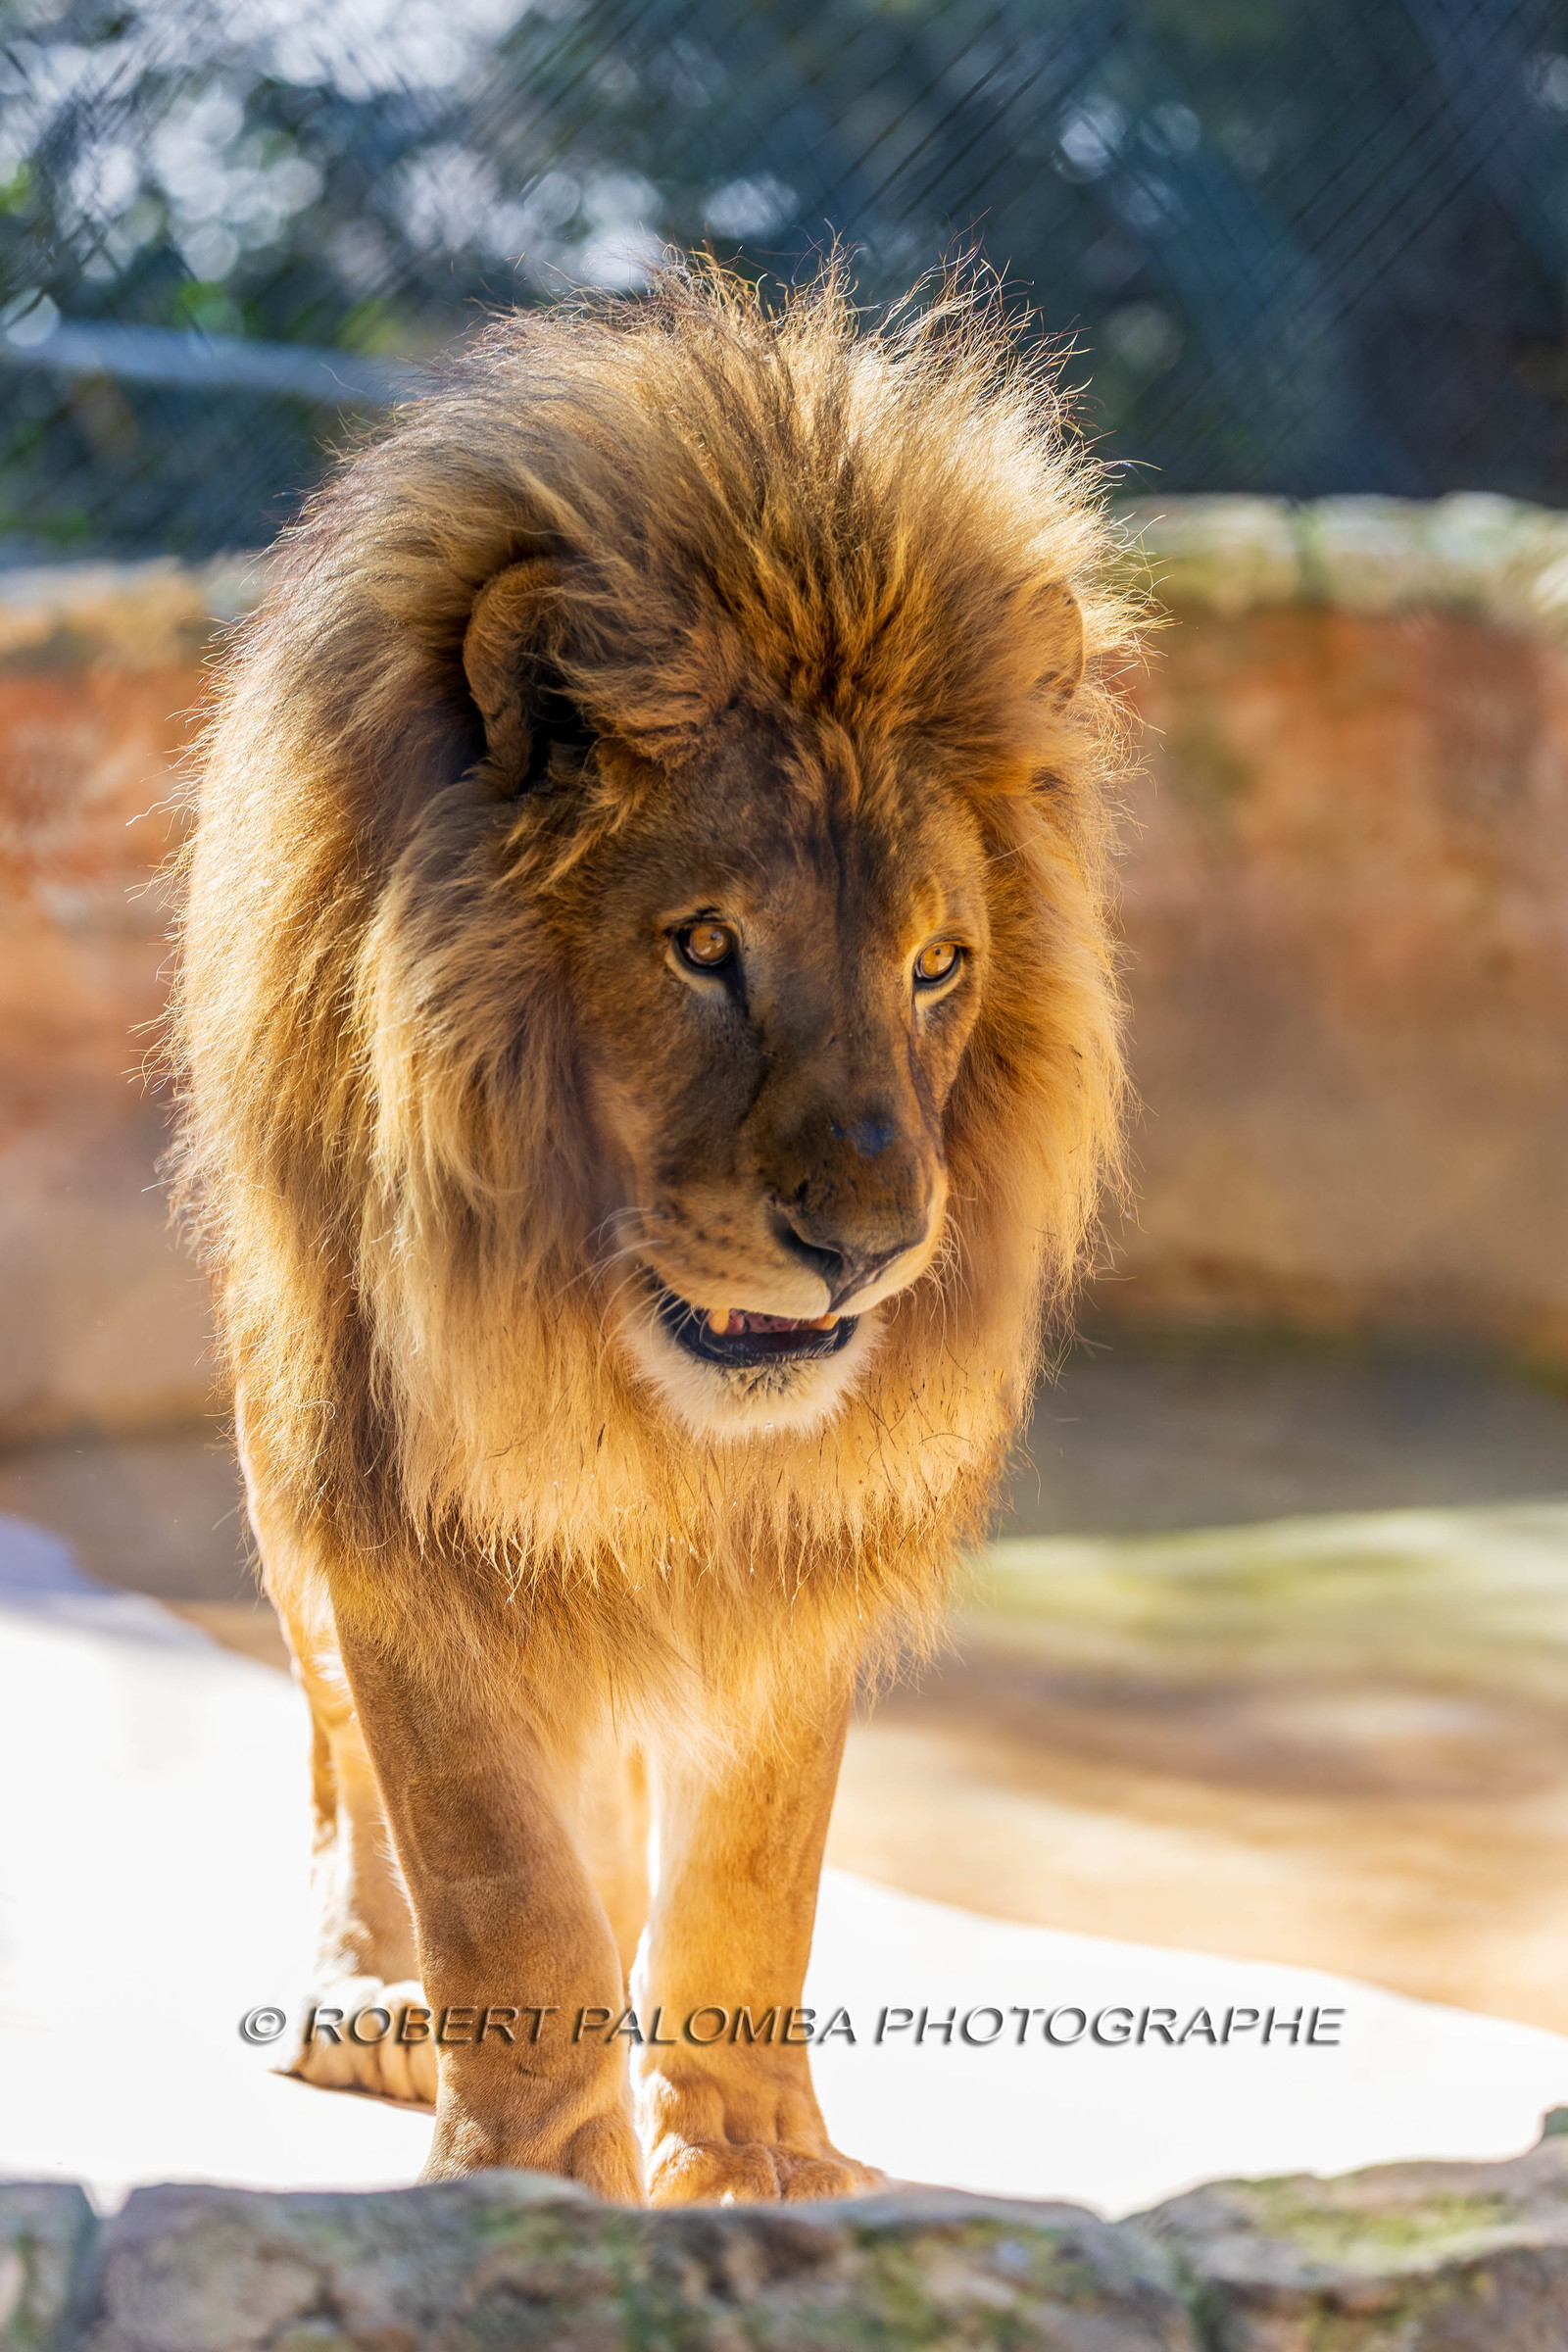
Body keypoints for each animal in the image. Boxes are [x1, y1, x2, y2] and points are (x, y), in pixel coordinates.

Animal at [172, 265, 1134, 2205]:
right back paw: (373, 1994)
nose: (867, 1245)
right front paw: (536, 2187)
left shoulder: (798, 1557)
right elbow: (499, 1888)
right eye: (704, 948)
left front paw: (753, 2165)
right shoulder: (406, 1520)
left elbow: (752, 1884)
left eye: (939, 966)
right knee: (339, 1757)